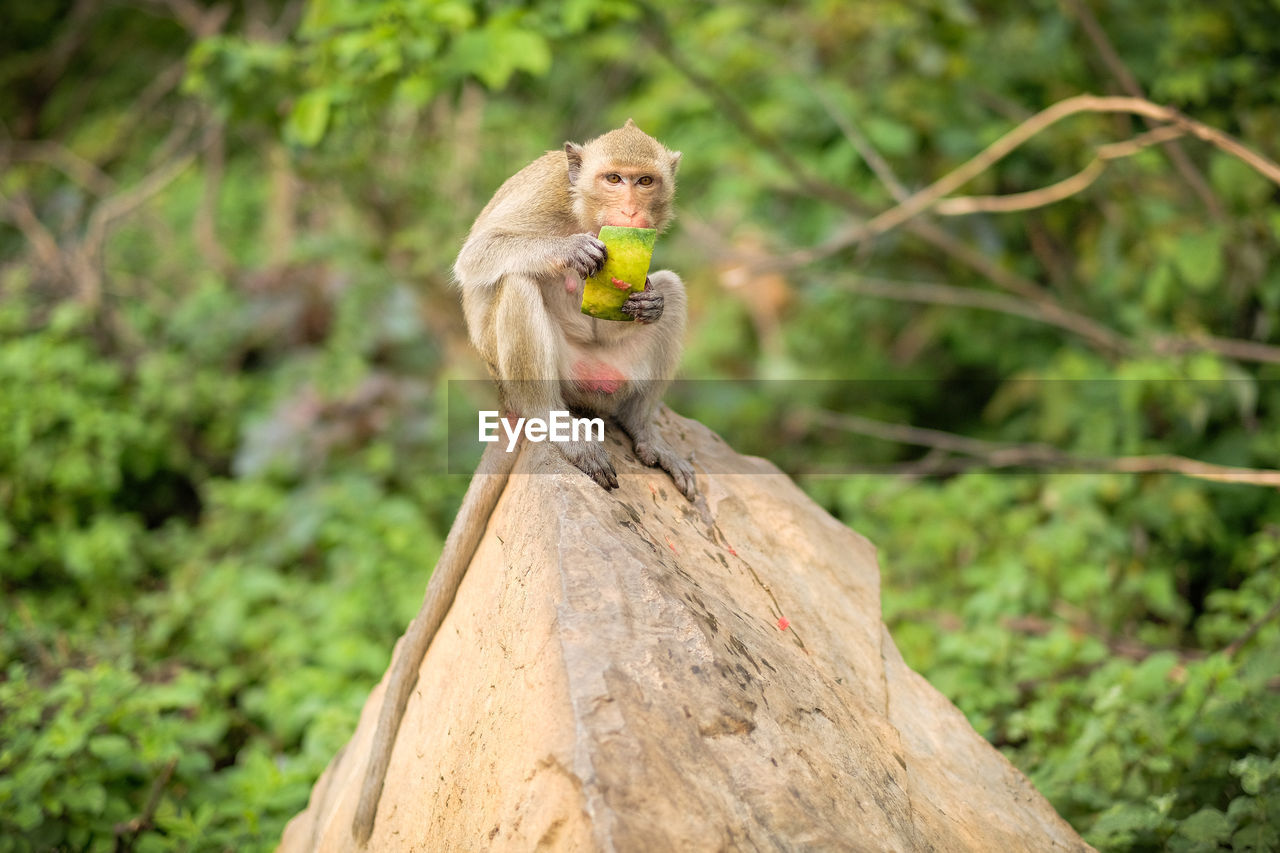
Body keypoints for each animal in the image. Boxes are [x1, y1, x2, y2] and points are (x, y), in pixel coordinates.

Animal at [350, 119, 696, 845]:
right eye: (613, 179)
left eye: (645, 181)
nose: (629, 211)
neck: (583, 206)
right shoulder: (540, 198)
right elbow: (481, 255)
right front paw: (571, 250)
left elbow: (663, 286)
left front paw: (647, 297)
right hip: (544, 377)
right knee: (516, 282)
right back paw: (555, 428)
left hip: (607, 377)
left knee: (675, 288)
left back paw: (642, 430)